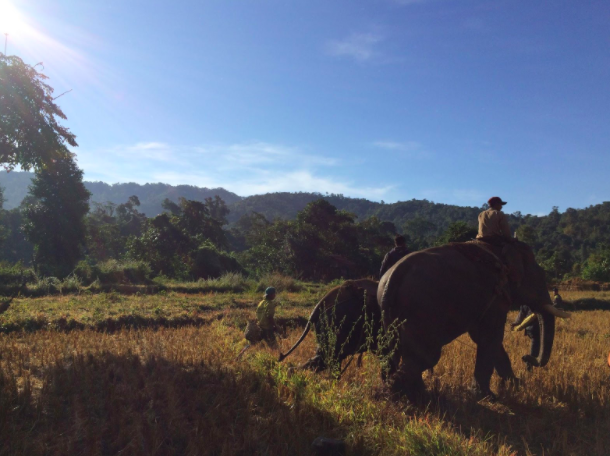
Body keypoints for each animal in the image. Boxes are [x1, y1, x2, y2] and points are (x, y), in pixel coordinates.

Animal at [378, 240, 568, 400]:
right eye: (540, 276)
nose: (526, 357)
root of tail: (393, 277)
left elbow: (484, 337)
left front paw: (516, 385)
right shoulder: (496, 294)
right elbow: (489, 337)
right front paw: (487, 396)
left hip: (392, 312)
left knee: (393, 352)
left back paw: (412, 393)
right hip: (421, 309)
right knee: (427, 355)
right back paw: (400, 394)